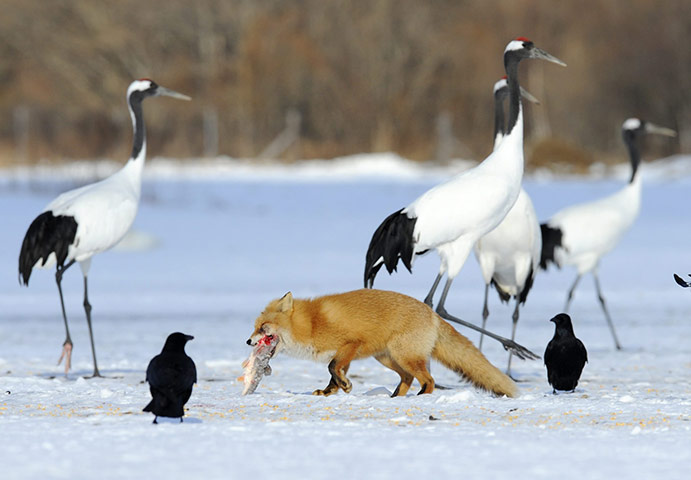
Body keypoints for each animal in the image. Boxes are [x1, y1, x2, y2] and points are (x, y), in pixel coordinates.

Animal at [247, 289, 517, 398]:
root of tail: (432, 314)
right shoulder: (346, 353)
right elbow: (333, 373)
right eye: (255, 327)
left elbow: (332, 368)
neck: (312, 323)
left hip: (404, 355)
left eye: (262, 327)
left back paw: (420, 397)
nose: (248, 341)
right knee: (407, 378)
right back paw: (396, 398)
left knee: (428, 380)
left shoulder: (350, 344)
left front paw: (343, 387)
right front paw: (330, 391)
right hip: (388, 358)